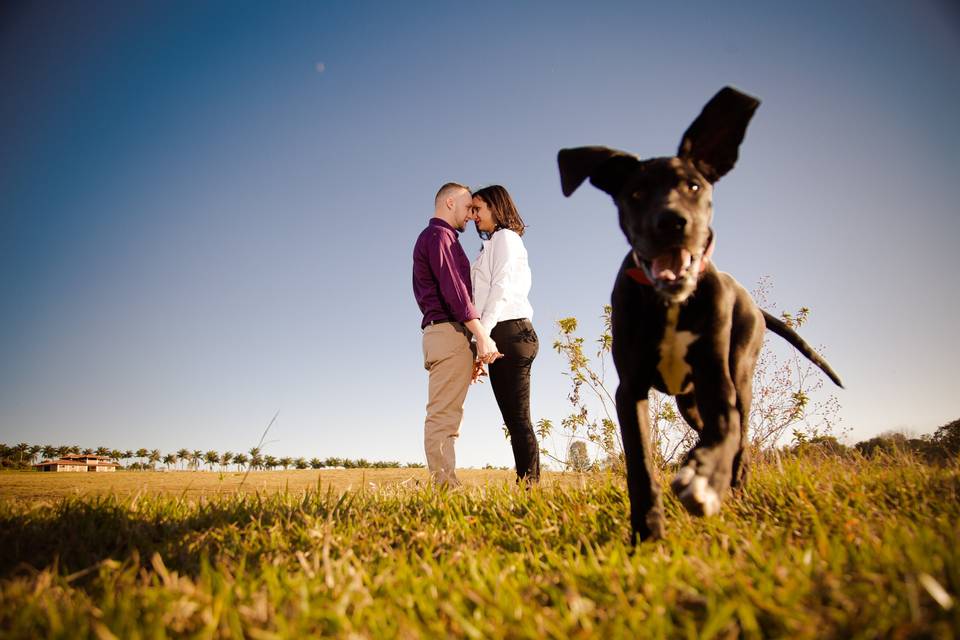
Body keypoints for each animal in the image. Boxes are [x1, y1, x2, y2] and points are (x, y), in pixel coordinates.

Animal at [556, 87, 840, 544]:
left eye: (693, 185)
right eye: (635, 194)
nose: (671, 222)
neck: (671, 304)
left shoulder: (716, 378)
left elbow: (727, 428)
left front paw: (706, 481)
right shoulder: (630, 389)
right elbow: (640, 465)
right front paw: (648, 531)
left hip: (739, 370)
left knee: (738, 433)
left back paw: (728, 481)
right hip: (688, 401)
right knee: (706, 427)